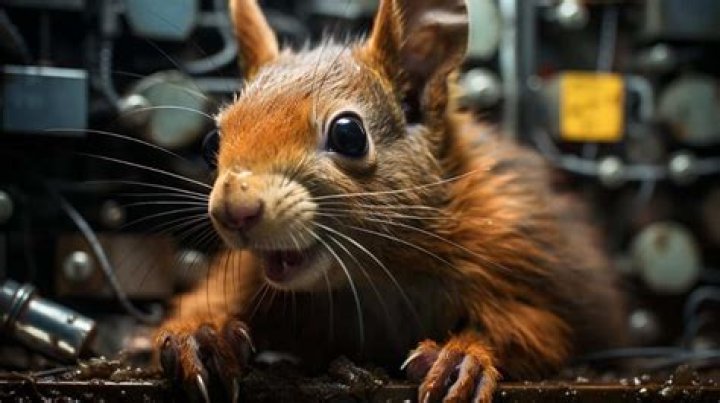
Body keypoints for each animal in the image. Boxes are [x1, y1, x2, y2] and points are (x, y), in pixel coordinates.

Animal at [154, 0, 627, 401]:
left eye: (349, 134)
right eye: (213, 142)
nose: (235, 210)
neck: (376, 276)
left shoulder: (518, 253)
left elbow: (536, 331)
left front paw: (463, 356)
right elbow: (207, 301)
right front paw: (203, 335)